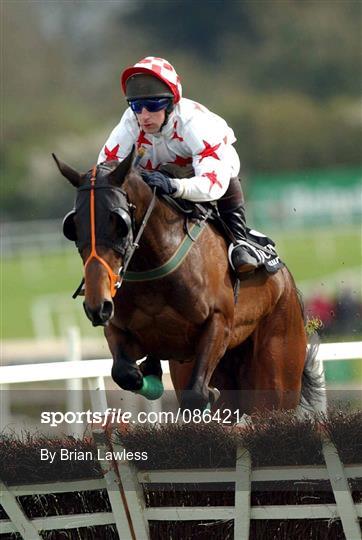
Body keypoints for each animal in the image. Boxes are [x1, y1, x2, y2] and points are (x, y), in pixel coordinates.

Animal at [54, 150, 326, 416]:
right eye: (73, 226)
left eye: (119, 223)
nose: (96, 306)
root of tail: (287, 282)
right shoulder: (121, 328)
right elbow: (125, 373)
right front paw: (151, 376)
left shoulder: (218, 322)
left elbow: (195, 395)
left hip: (276, 376)